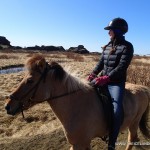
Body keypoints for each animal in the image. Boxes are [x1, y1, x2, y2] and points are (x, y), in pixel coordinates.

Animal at [4, 55, 150, 150]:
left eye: (30, 80)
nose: (7, 106)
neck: (75, 106)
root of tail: (143, 88)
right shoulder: (79, 144)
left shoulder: (80, 144)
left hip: (134, 123)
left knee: (131, 140)